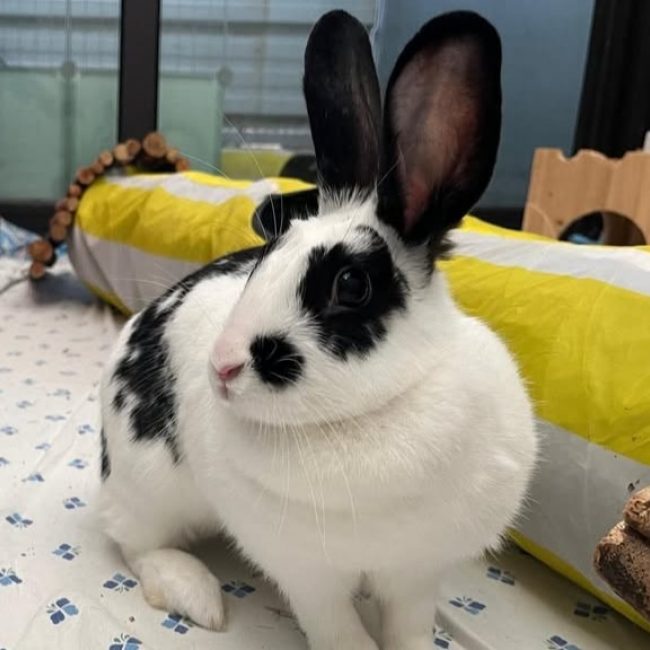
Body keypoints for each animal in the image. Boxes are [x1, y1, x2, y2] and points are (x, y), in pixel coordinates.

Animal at [98, 9, 538, 650]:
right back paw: (196, 594)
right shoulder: (307, 573)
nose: (221, 367)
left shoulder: (416, 573)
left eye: (351, 285)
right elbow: (336, 628)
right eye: (266, 253)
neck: (373, 414)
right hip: (150, 484)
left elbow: (409, 627)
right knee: (134, 542)